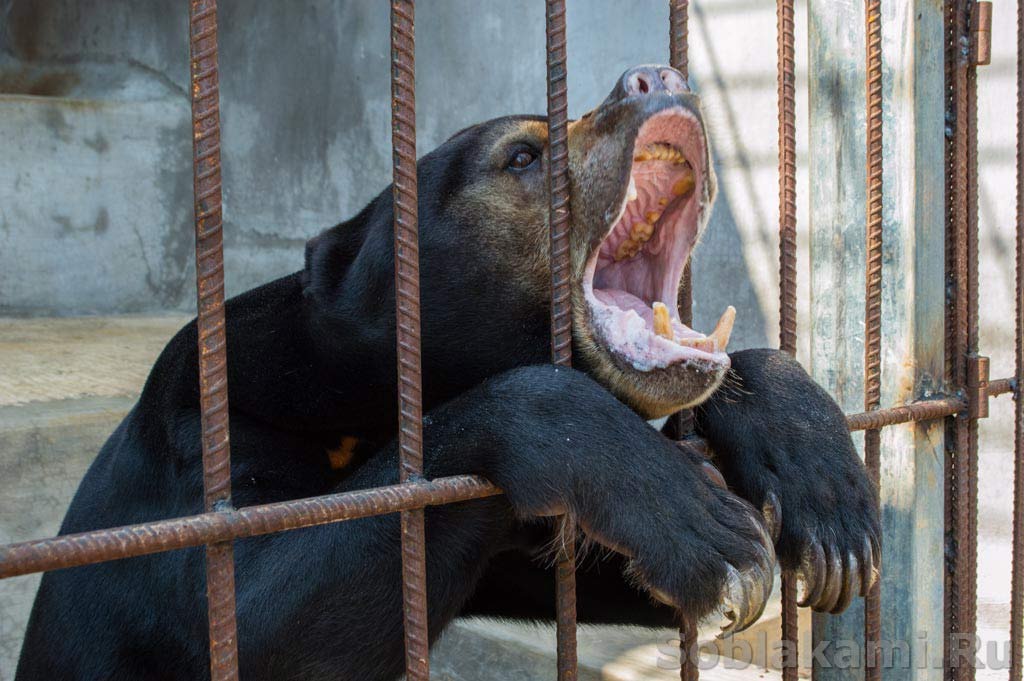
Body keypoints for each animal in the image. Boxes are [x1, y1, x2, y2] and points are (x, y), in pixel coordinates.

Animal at [16, 65, 880, 679]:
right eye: (523, 156)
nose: (657, 76)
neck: (360, 393)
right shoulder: (213, 430)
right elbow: (253, 622)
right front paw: (710, 532)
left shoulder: (508, 551)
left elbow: (616, 571)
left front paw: (817, 495)